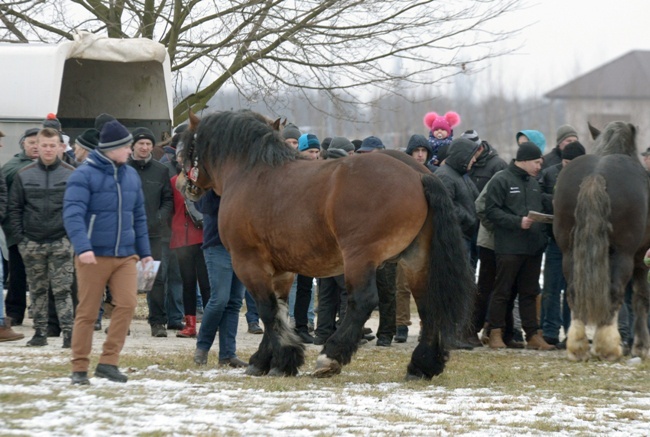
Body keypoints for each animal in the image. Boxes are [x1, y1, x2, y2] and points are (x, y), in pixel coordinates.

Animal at [175, 110, 474, 380]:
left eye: (188, 147)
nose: (182, 183)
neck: (250, 172)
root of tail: (417, 174)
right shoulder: (283, 270)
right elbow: (279, 309)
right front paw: (273, 360)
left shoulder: (248, 262)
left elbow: (267, 310)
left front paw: (274, 360)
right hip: (417, 260)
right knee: (428, 305)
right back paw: (422, 366)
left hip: (360, 257)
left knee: (362, 301)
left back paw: (330, 357)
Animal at [552, 121, 648, 360]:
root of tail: (596, 175)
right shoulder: (640, 258)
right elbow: (641, 297)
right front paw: (641, 347)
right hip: (623, 254)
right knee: (614, 292)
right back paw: (608, 347)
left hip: (569, 252)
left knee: (573, 291)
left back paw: (577, 346)